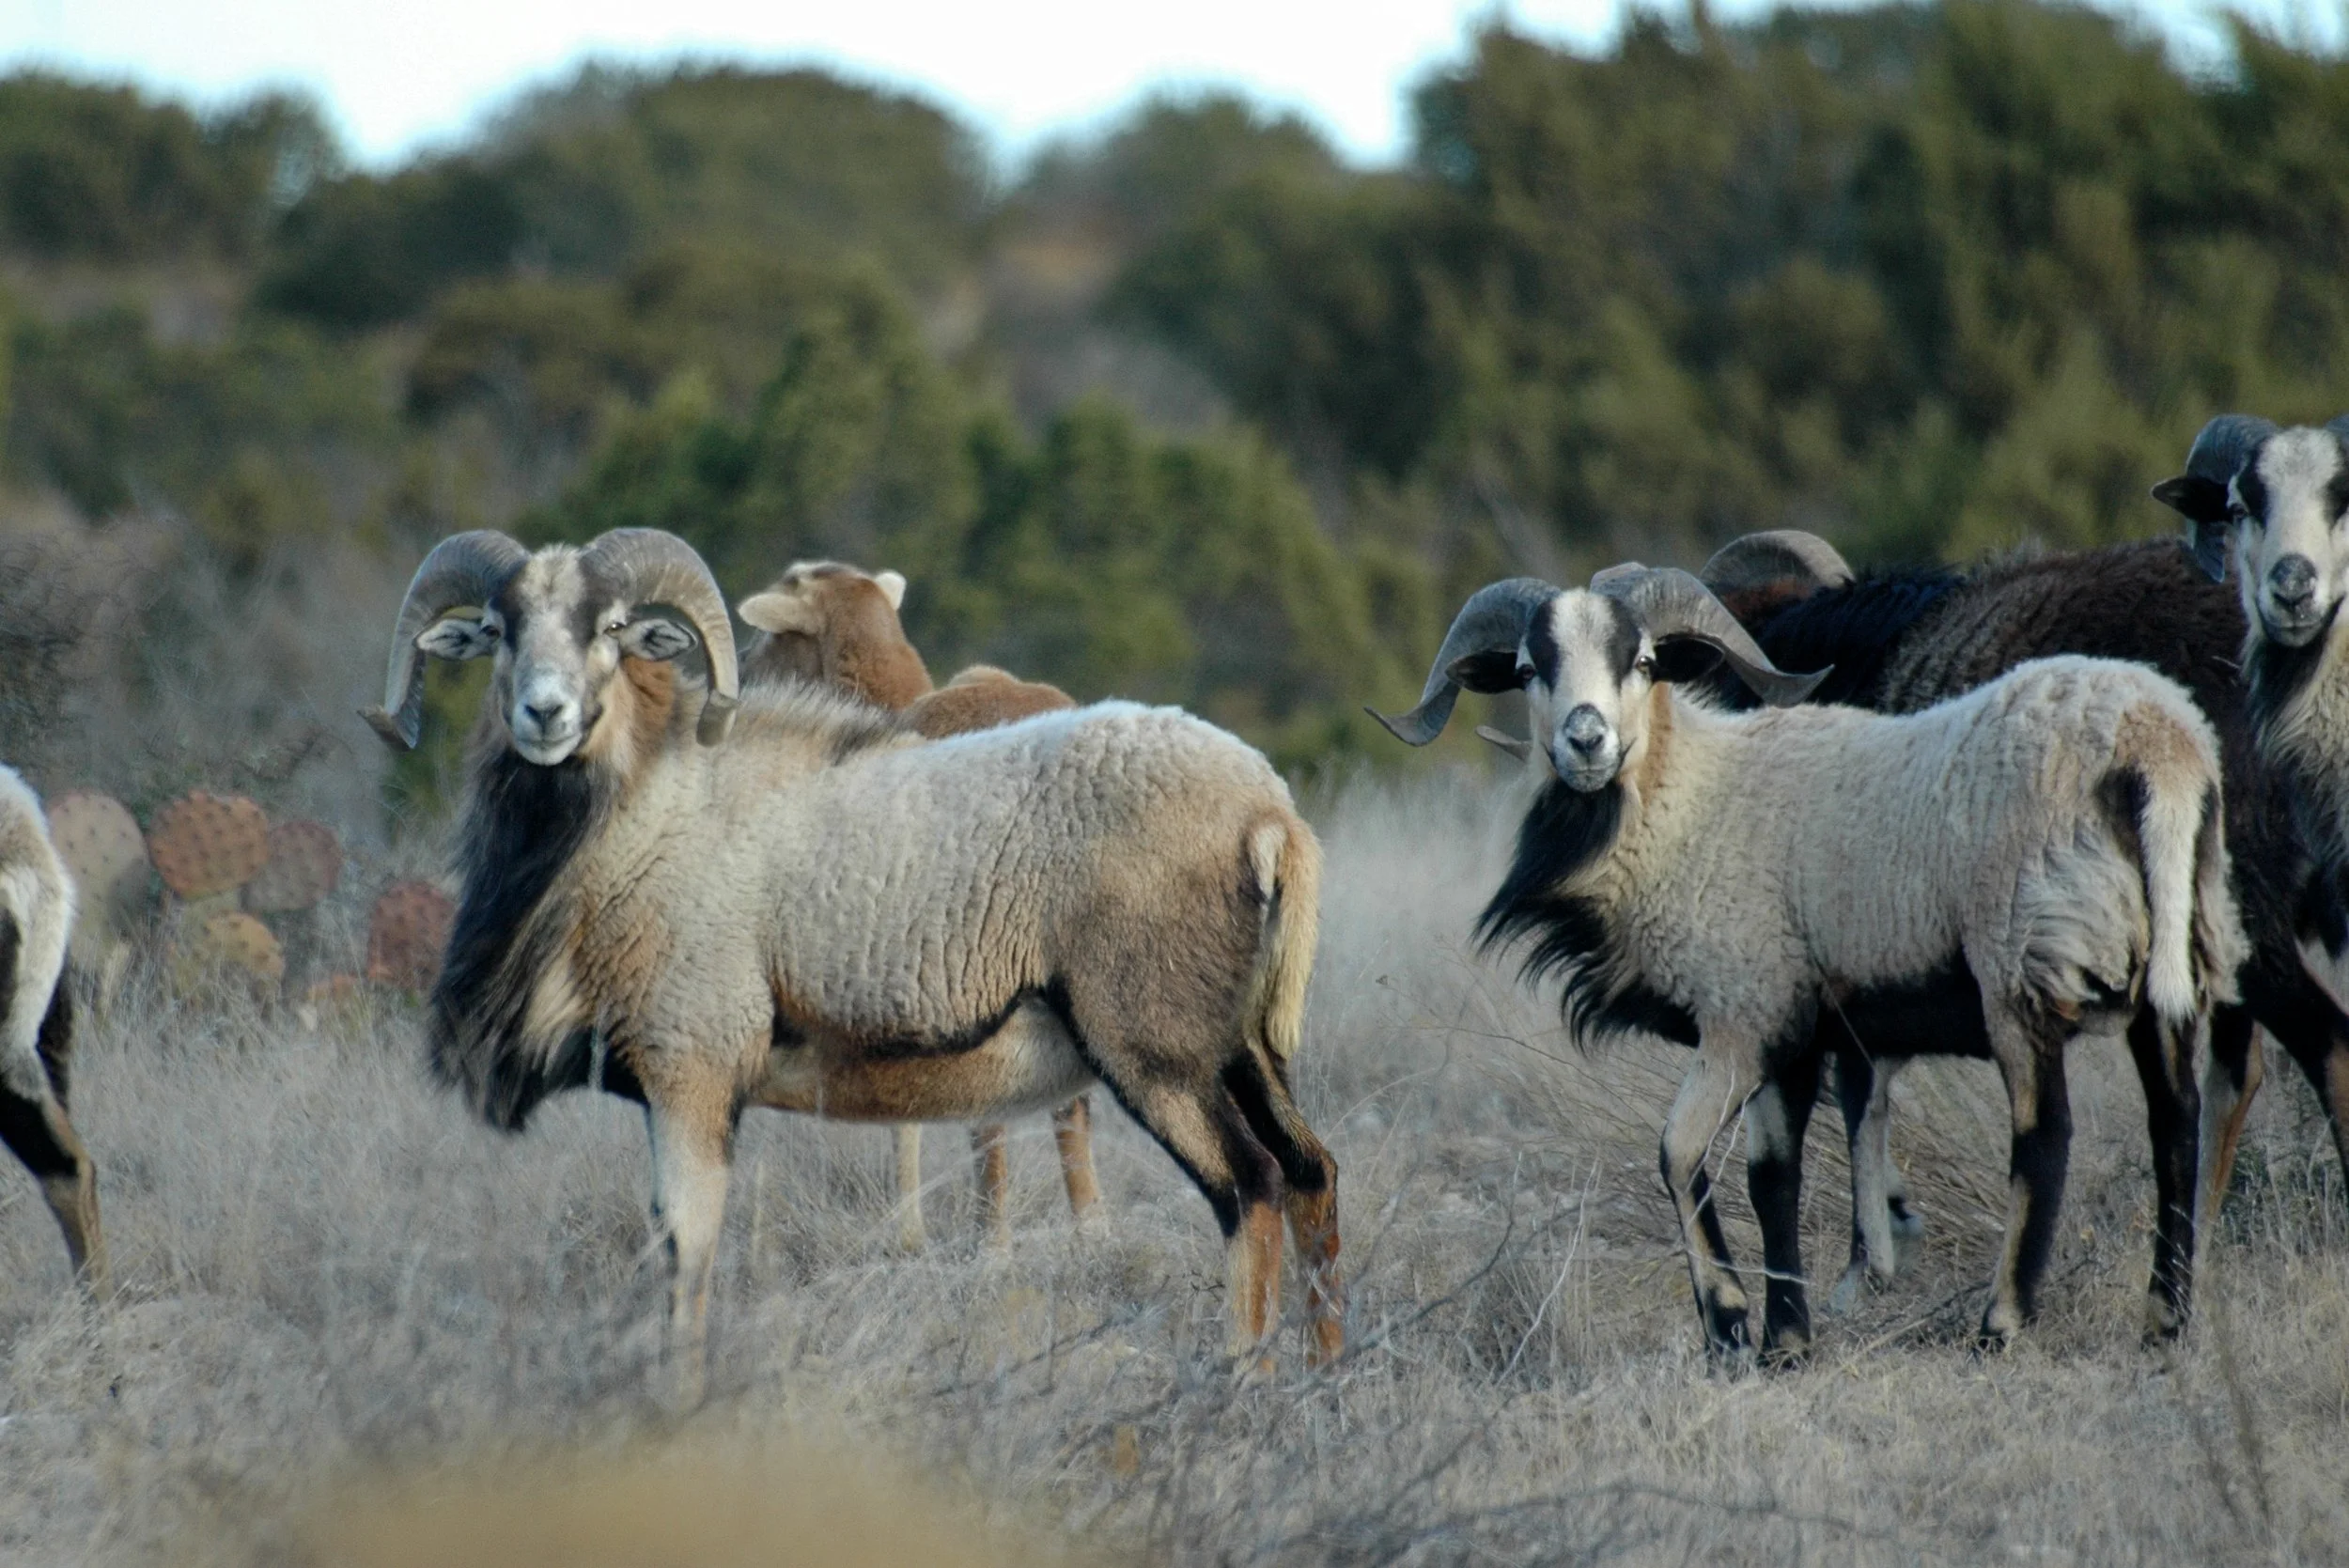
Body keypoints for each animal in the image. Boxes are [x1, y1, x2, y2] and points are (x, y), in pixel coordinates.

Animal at [1375, 568, 2241, 1355]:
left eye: (1645, 660)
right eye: (1528, 668)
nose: (1585, 740)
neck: (1685, 798)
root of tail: (2158, 746)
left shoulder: (1743, 1011)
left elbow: (1679, 1152)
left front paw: (1731, 1324)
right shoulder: (1788, 1027)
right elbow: (1772, 1176)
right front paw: (1787, 1337)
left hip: (2020, 965)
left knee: (2045, 1137)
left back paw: (1999, 1326)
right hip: (2176, 950)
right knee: (2176, 1121)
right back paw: (2166, 1323)